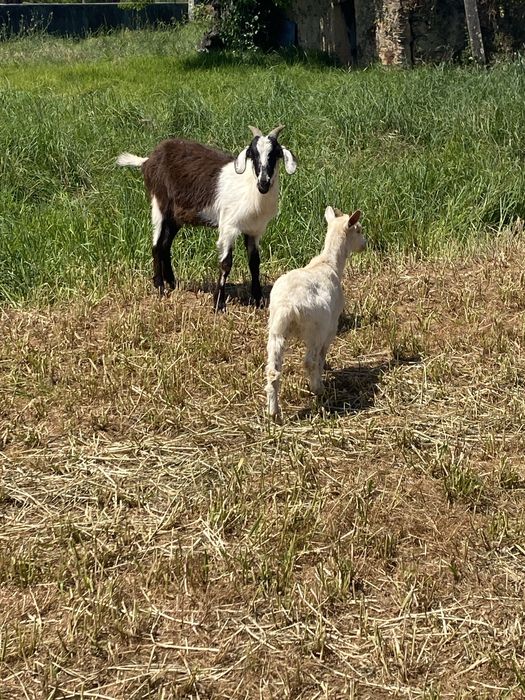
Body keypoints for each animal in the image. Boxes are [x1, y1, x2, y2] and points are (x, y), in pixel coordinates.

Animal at [117, 125, 297, 311]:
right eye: (252, 154)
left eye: (274, 154)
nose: (263, 183)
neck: (248, 187)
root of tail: (148, 160)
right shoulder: (228, 227)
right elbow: (226, 264)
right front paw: (219, 304)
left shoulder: (254, 230)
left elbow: (254, 263)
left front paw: (259, 300)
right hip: (159, 203)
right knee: (156, 245)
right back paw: (160, 288)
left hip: (176, 216)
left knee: (166, 245)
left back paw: (173, 284)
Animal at [265, 206, 365, 418]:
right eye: (359, 230)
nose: (364, 244)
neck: (328, 262)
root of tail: (288, 306)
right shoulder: (332, 325)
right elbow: (322, 355)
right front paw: (321, 375)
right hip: (314, 329)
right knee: (309, 361)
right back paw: (318, 389)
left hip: (276, 330)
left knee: (272, 369)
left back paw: (273, 412)